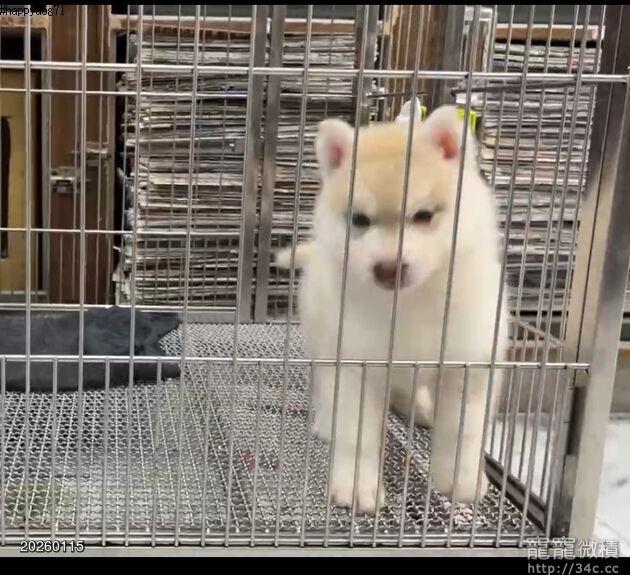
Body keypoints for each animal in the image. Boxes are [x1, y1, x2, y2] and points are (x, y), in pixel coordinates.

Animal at [273, 105, 507, 514]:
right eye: (359, 220)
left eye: (424, 215)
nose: (388, 267)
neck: (410, 304)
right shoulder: (356, 362)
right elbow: (357, 435)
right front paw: (356, 485)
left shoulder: (470, 363)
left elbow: (463, 431)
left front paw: (459, 479)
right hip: (321, 338)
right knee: (324, 386)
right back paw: (326, 420)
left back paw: (419, 408)